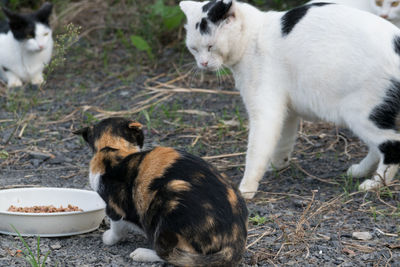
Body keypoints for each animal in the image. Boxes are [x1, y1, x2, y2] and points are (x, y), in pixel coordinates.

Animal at [72, 118, 247, 266]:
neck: (113, 148)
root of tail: (235, 242)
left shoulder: (114, 206)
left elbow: (116, 227)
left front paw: (109, 238)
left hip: (169, 198)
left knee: (172, 254)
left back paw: (142, 253)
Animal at [182, 0, 400, 199]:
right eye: (194, 49)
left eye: (210, 47)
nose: (202, 63)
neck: (253, 38)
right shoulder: (286, 112)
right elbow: (283, 142)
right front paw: (278, 164)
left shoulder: (266, 113)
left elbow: (256, 151)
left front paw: (246, 188)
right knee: (377, 147)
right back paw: (360, 171)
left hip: (362, 113)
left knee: (392, 144)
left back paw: (376, 183)